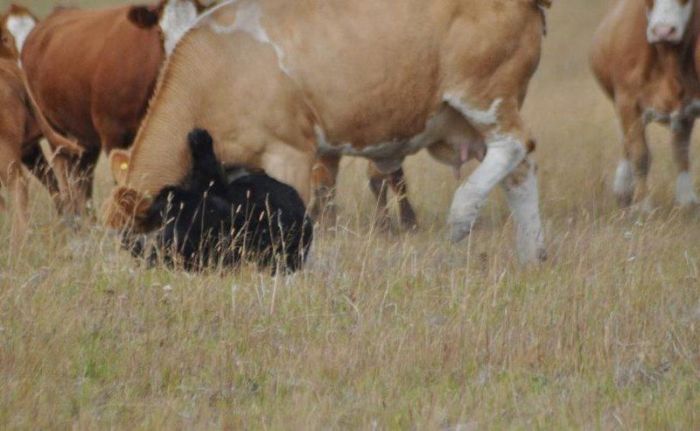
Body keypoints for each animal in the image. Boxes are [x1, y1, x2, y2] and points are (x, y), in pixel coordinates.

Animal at [18, 0, 205, 215]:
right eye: (159, 32)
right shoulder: (113, 134)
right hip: (54, 129)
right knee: (63, 171)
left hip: (84, 135)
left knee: (84, 174)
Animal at [592, 0, 700, 209]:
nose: (663, 31)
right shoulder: (627, 102)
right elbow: (640, 154)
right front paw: (642, 204)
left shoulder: (688, 108)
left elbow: (681, 151)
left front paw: (686, 201)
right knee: (627, 142)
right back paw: (623, 189)